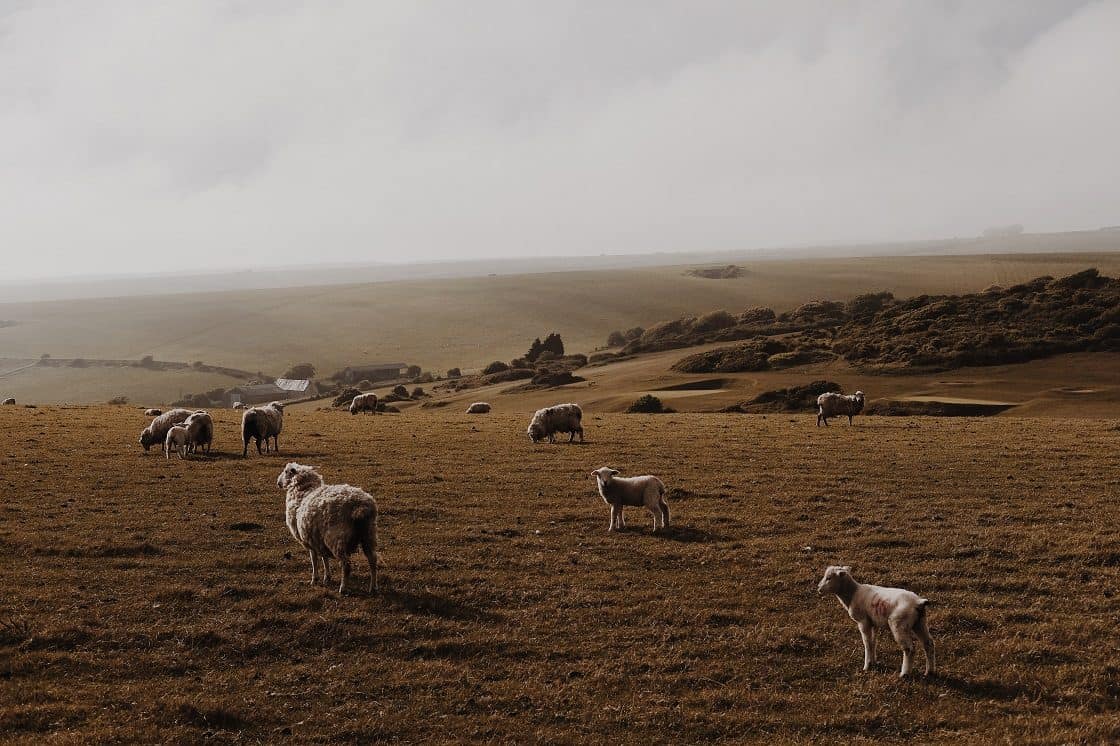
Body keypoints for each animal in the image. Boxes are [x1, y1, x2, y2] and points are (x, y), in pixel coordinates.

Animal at [276, 459, 378, 591]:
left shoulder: (308, 539)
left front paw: (314, 579)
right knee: (373, 560)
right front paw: (327, 577)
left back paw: (343, 588)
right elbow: (325, 557)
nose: (278, 483)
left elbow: (314, 560)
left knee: (346, 565)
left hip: (336, 538)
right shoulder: (318, 538)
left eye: (285, 471)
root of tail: (359, 506)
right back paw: (373, 587)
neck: (303, 491)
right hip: (368, 534)